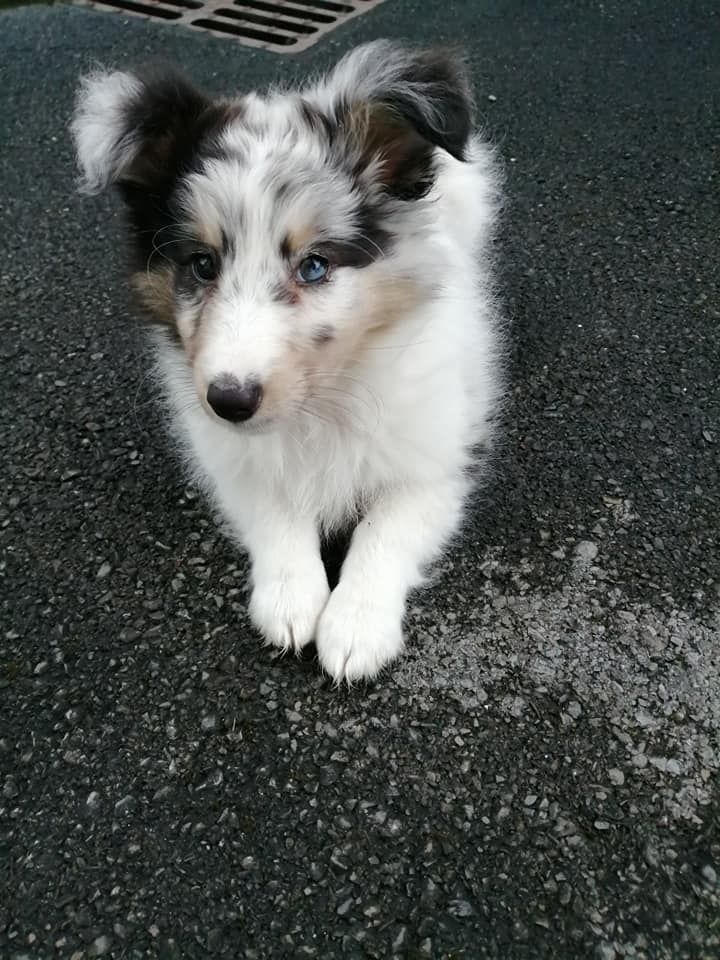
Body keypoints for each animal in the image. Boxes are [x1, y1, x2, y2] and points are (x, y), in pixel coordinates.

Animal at [70, 41, 504, 680]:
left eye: (315, 265)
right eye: (202, 265)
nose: (229, 401)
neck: (322, 401)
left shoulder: (434, 460)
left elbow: (386, 528)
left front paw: (355, 625)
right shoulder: (227, 455)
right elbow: (274, 508)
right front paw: (291, 598)